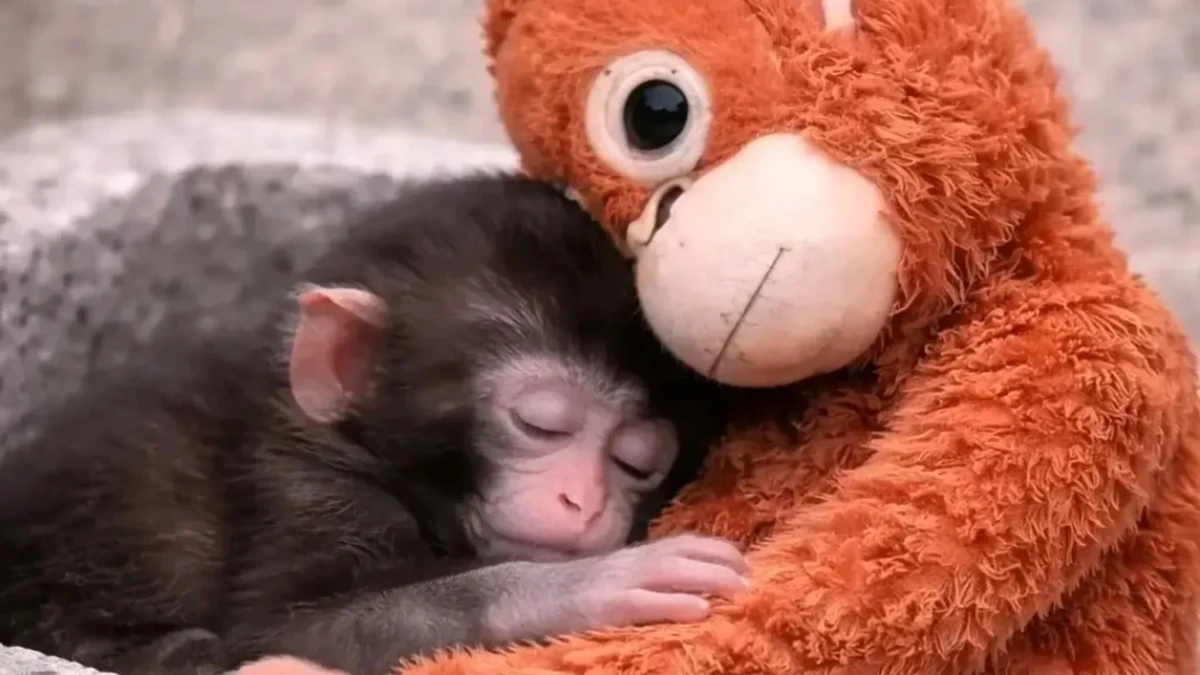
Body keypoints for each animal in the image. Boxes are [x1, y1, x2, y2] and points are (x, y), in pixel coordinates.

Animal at [0, 173, 746, 675]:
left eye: (636, 461)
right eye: (540, 426)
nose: (581, 501)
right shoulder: (303, 487)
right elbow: (291, 630)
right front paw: (594, 585)